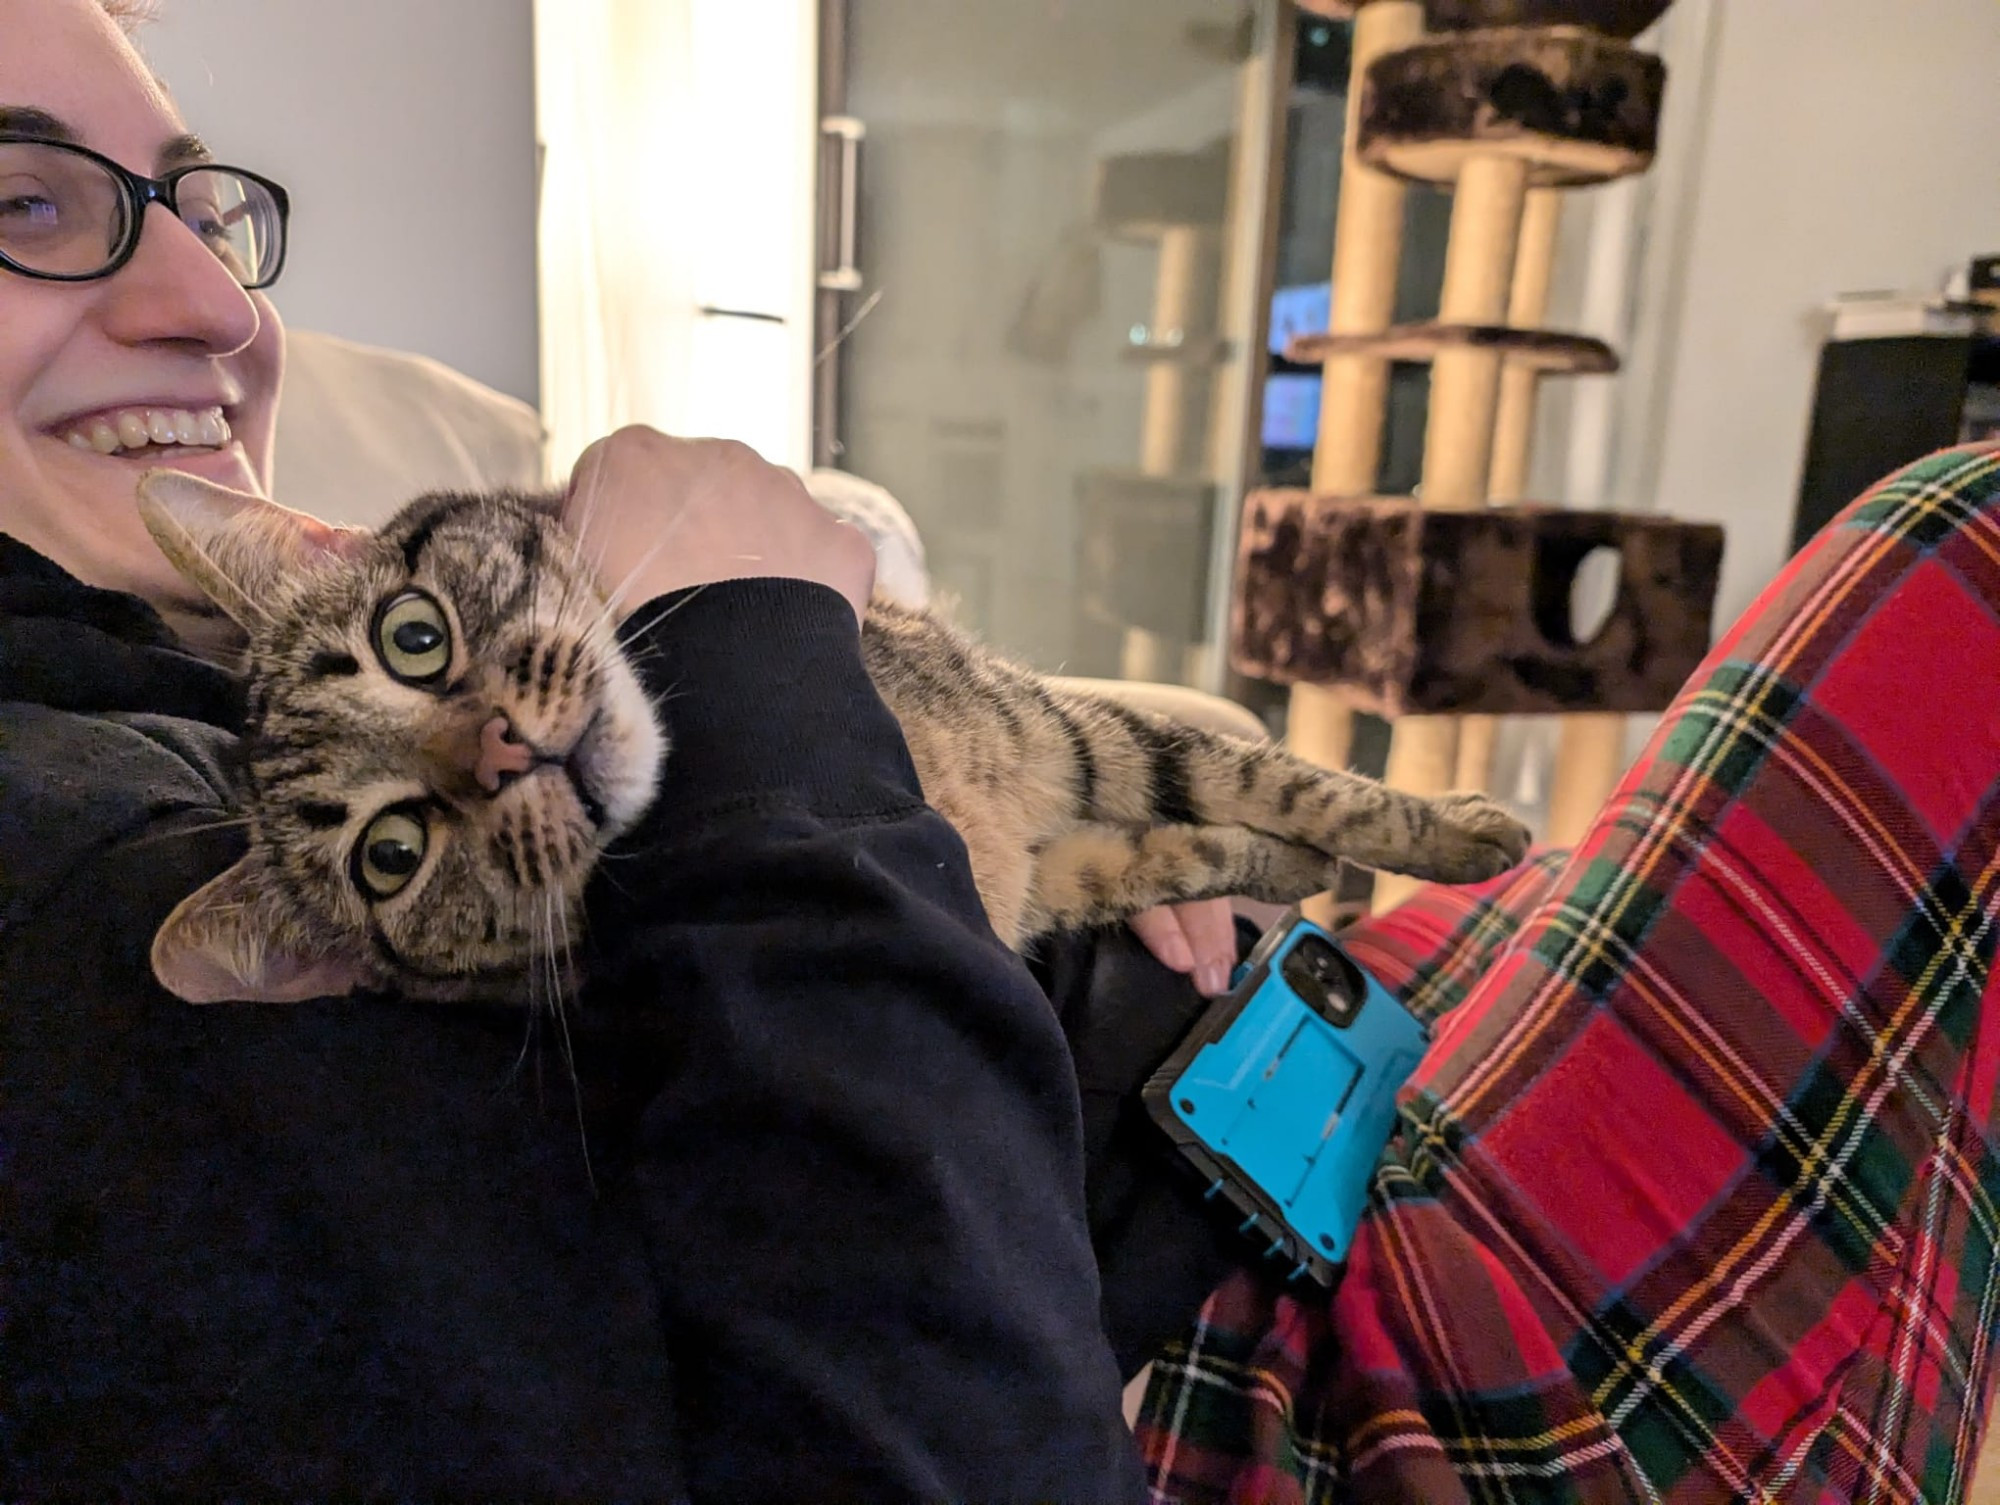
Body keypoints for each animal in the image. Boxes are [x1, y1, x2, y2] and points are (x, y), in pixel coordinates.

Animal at [133, 476, 1520, 1004]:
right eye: (391, 855)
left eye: (411, 637)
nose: (502, 751)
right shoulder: (1039, 877)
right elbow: (1177, 844)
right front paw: (1290, 873)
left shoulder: (1057, 732)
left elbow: (1261, 774)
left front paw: (1452, 832)